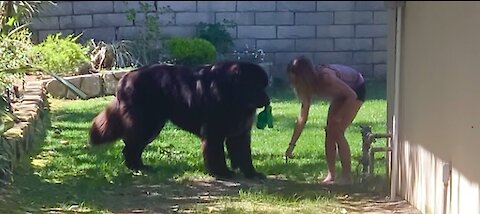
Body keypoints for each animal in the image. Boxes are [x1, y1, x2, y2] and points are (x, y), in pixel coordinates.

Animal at [89, 61, 270, 180]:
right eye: (255, 85)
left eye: (264, 85)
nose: (266, 99)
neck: (232, 93)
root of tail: (124, 78)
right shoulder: (213, 133)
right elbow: (216, 154)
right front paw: (221, 173)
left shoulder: (240, 132)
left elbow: (244, 154)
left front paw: (252, 173)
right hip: (147, 124)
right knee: (130, 146)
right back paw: (136, 168)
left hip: (152, 125)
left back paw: (141, 166)